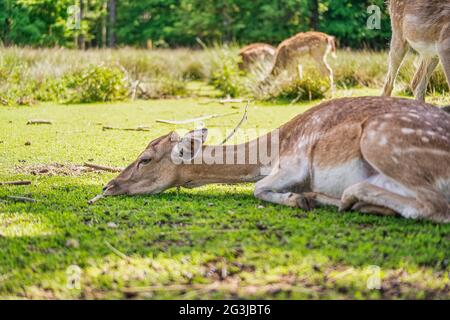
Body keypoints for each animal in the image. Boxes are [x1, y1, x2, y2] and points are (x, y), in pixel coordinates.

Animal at [102, 96, 450, 224]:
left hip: (381, 140)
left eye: (145, 159)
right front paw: (306, 198)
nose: (108, 186)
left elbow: (258, 189)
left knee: (433, 206)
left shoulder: (294, 162)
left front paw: (298, 199)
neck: (268, 154)